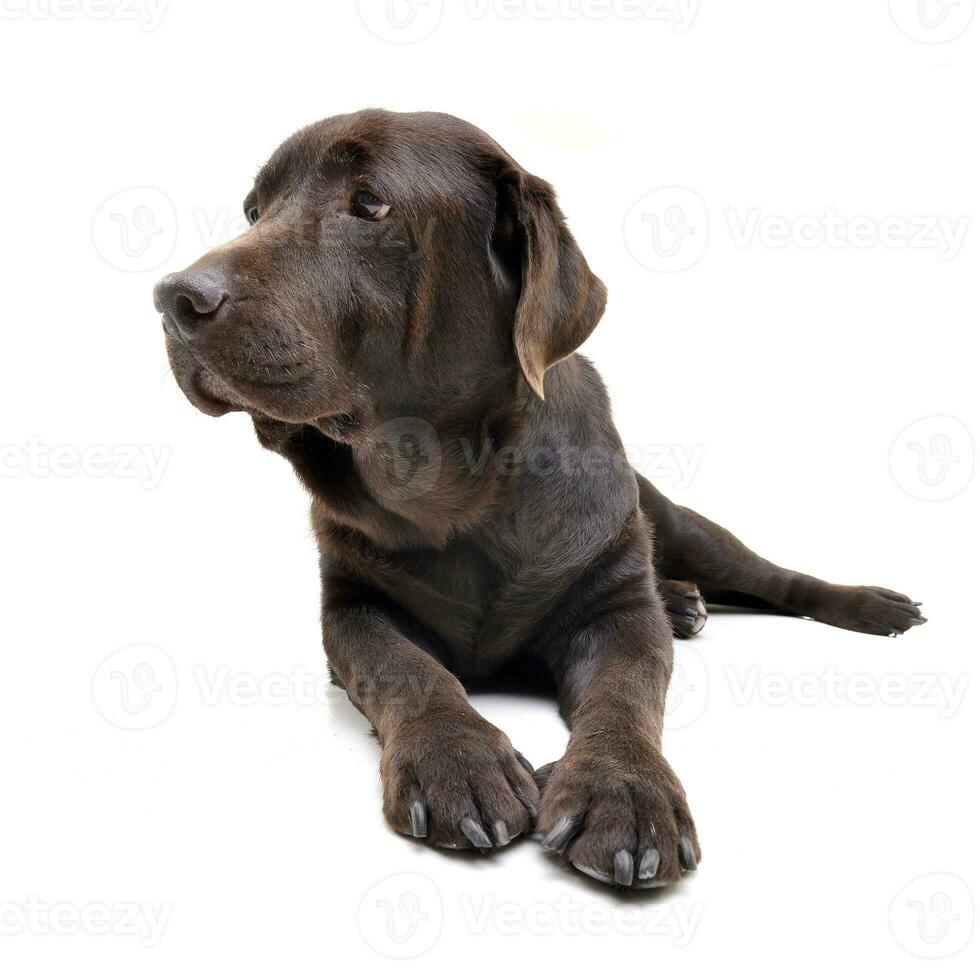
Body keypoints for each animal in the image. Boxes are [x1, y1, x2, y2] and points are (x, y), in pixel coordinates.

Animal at [155, 107, 928, 888]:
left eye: (369, 204)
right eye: (255, 211)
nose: (174, 298)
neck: (453, 493)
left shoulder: (615, 611)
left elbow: (624, 694)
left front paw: (624, 792)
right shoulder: (353, 606)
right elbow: (406, 670)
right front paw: (458, 760)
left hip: (681, 526)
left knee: (766, 575)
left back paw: (863, 605)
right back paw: (682, 602)